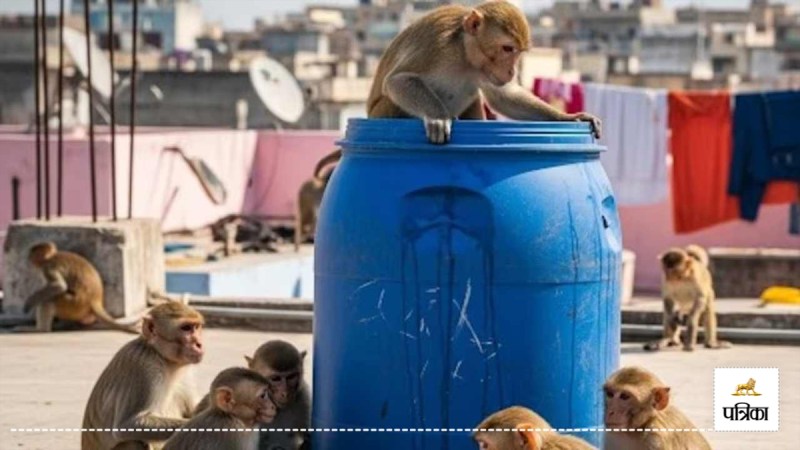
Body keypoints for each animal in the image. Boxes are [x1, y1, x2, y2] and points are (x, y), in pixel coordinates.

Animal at [81, 302, 205, 450]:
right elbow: (128, 425)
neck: (161, 356)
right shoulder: (144, 366)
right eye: (186, 328)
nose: (199, 344)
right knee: (134, 441)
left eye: (196, 327)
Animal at [313, 0, 602, 178]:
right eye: (507, 48)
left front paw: (569, 117)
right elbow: (398, 81)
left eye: (518, 52)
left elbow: (503, 97)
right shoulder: (437, 45)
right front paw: (438, 116)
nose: (511, 71)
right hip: (380, 112)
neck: (465, 52)